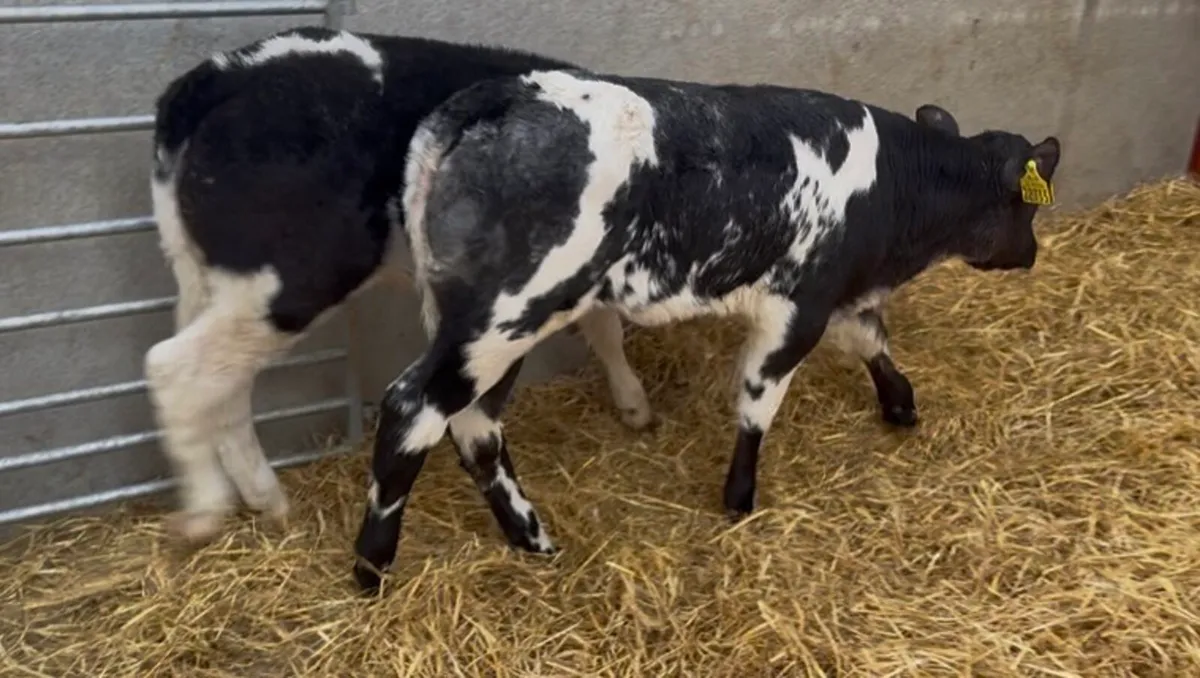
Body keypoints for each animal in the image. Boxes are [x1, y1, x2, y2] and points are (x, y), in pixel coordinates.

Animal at [144, 28, 656, 545]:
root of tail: (219, 76)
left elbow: (605, 329)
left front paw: (632, 403)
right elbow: (606, 327)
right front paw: (636, 401)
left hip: (209, 277)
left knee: (222, 384)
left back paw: (267, 500)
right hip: (292, 279)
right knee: (175, 367)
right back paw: (205, 510)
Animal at [350, 68, 1061, 591]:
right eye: (1028, 206)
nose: (1030, 256)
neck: (893, 191)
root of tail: (492, 97)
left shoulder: (838, 292)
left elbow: (870, 339)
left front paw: (901, 403)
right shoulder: (798, 303)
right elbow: (758, 399)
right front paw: (739, 498)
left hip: (497, 327)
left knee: (475, 423)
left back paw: (531, 537)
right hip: (501, 315)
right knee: (413, 408)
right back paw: (372, 564)